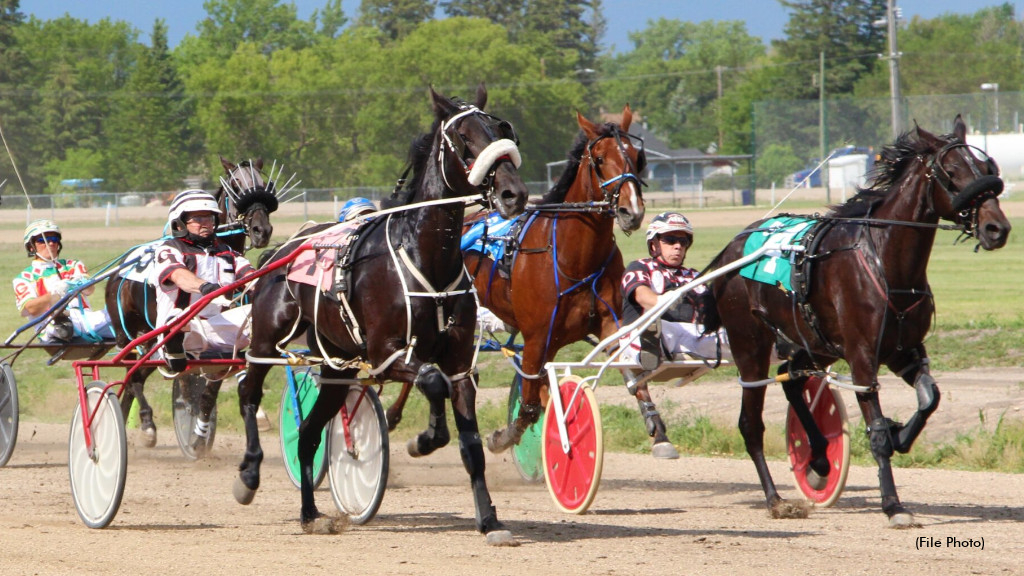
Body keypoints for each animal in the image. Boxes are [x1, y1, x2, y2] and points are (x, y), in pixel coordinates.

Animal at [104, 157, 286, 448]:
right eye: (236, 186)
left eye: (265, 184)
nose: (262, 230)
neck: (205, 245)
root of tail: (119, 272)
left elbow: (216, 382)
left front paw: (204, 427)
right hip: (130, 334)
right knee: (133, 375)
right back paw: (146, 424)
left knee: (137, 377)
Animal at [236, 85, 532, 537]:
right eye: (463, 137)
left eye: (502, 129)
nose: (513, 193)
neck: (425, 257)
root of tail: (282, 251)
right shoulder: (385, 355)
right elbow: (431, 382)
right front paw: (426, 436)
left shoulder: (458, 361)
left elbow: (471, 444)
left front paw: (488, 520)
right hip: (267, 341)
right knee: (248, 394)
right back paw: (250, 474)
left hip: (334, 366)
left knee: (307, 433)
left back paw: (310, 513)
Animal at [704, 115, 1007, 524]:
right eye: (953, 172)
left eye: (988, 169)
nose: (997, 228)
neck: (886, 262)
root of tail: (731, 249)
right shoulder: (863, 357)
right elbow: (875, 430)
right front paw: (893, 504)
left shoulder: (905, 350)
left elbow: (930, 399)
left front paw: (900, 435)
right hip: (749, 343)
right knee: (751, 422)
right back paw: (775, 499)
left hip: (816, 342)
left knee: (791, 378)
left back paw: (817, 456)